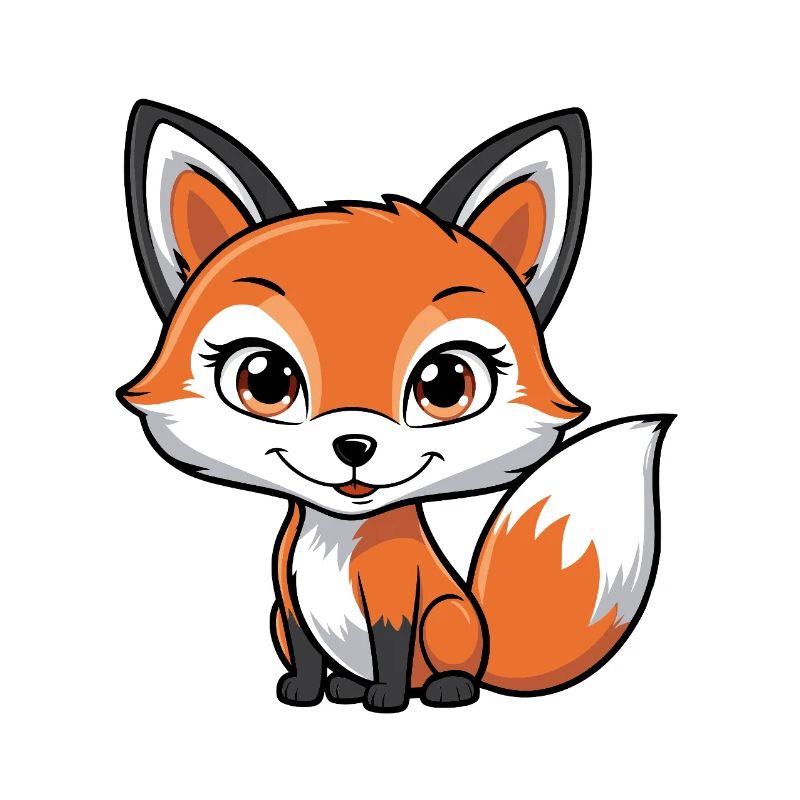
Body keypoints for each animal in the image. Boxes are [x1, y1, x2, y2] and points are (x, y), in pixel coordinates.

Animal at [119, 100, 673, 712]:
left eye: (446, 384)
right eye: (264, 380)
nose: (354, 444)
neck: (335, 539)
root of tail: (488, 646)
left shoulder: (397, 600)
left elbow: (391, 651)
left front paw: (385, 700)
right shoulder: (289, 604)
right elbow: (307, 655)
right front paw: (306, 692)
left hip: (448, 617)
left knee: (444, 667)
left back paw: (442, 688)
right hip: (280, 621)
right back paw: (343, 686)